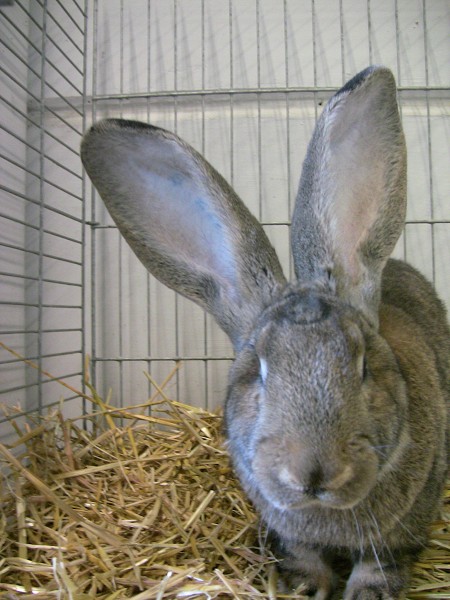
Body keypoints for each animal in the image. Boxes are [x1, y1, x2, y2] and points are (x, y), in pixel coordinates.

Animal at [81, 65, 450, 600]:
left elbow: (379, 569)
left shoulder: (404, 530)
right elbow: (302, 559)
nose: (312, 473)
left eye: (362, 365)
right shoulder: (288, 534)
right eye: (258, 369)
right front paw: (304, 588)